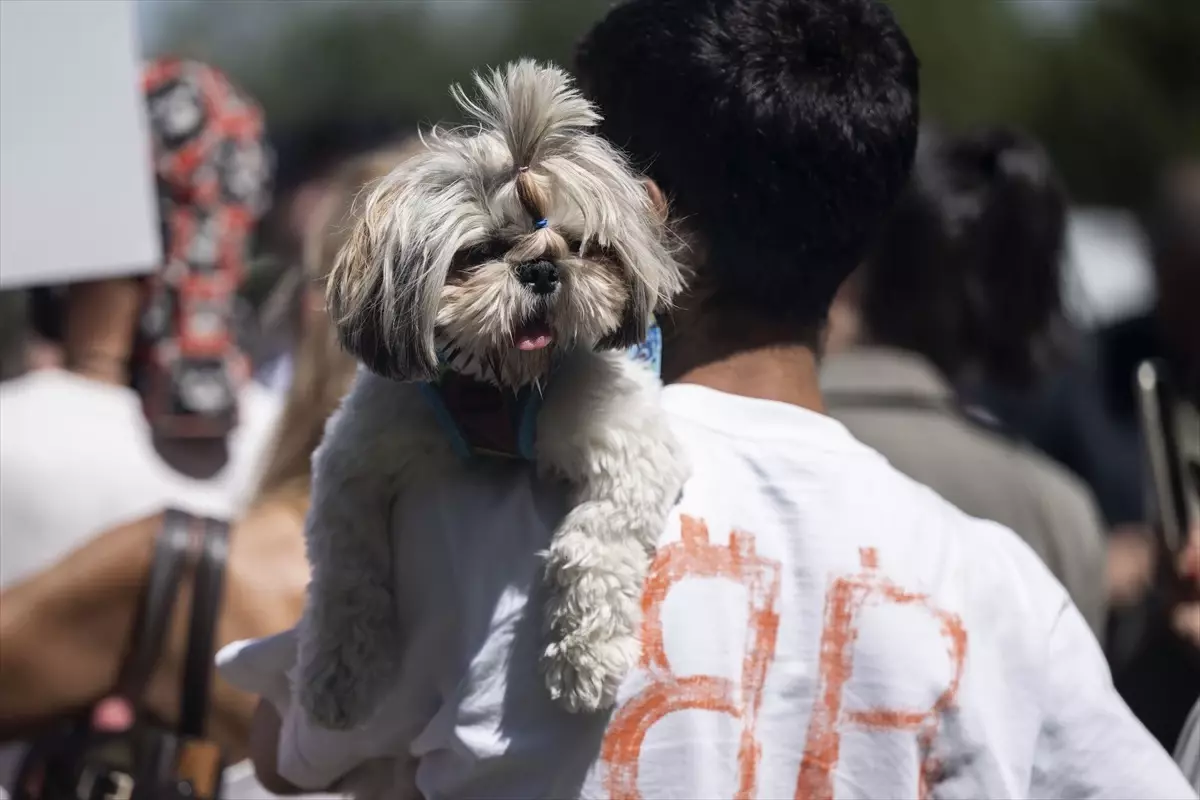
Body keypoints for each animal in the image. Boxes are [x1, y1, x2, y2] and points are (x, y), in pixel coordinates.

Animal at [300, 59, 691, 729]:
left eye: (580, 246)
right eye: (479, 253)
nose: (542, 270)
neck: (500, 383)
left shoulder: (630, 443)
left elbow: (592, 538)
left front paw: (582, 660)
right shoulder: (355, 458)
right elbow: (346, 568)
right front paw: (340, 672)